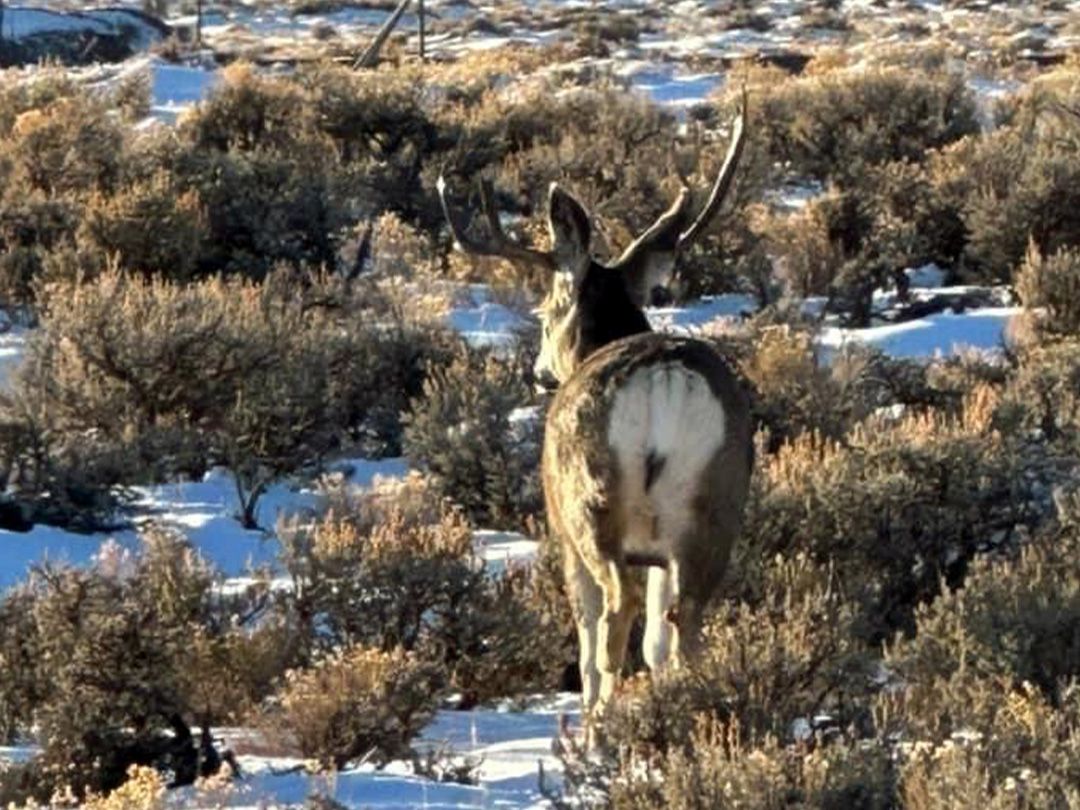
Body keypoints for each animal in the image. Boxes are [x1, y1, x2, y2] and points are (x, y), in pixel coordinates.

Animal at [437, 108, 753, 727]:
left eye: (544, 313)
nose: (540, 372)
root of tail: (663, 377)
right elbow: (656, 643)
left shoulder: (560, 530)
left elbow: (585, 639)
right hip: (715, 506)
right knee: (684, 621)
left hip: (590, 503)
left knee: (611, 615)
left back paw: (597, 728)